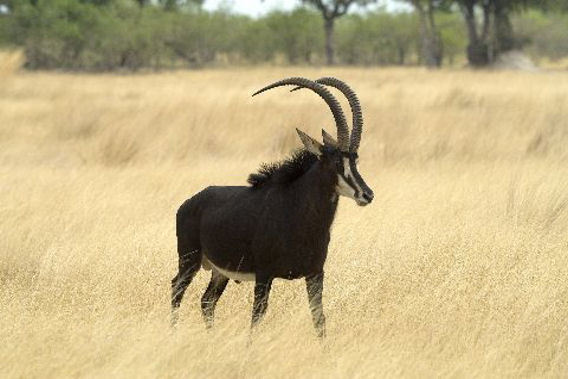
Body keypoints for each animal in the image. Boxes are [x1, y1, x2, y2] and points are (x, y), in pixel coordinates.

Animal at [171, 77, 372, 338]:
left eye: (355, 159)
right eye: (336, 161)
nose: (367, 194)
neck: (298, 214)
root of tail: (188, 204)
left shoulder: (315, 274)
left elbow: (319, 318)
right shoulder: (264, 275)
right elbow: (257, 317)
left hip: (219, 272)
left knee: (207, 301)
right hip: (189, 260)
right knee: (176, 289)